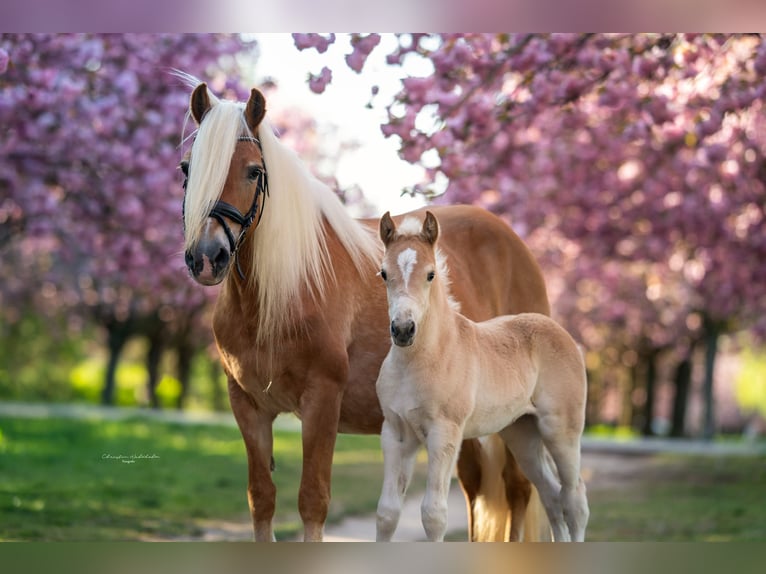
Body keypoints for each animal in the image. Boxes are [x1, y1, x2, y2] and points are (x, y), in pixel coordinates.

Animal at [180, 82, 552, 544]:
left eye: (252, 171)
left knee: (517, 490)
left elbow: (312, 500)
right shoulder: (247, 406)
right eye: (186, 168)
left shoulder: (322, 400)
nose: (206, 257)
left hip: (515, 421)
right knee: (475, 490)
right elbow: (261, 500)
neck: (282, 291)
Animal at [376, 213, 592, 544]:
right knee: (551, 496)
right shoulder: (396, 434)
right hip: (522, 433)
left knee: (574, 500)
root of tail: (558, 329)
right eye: (384, 274)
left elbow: (434, 515)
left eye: (430, 275)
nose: (403, 330)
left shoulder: (444, 434)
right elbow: (387, 514)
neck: (424, 358)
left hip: (561, 430)